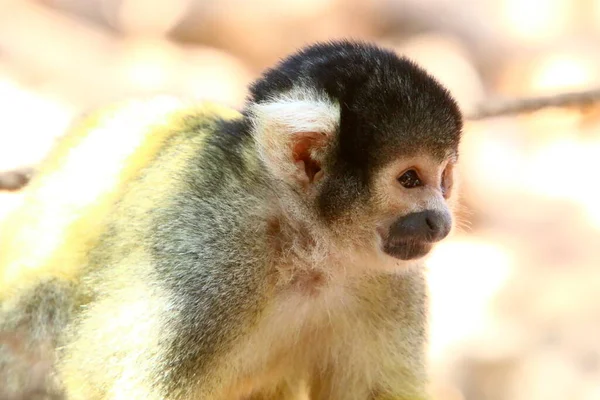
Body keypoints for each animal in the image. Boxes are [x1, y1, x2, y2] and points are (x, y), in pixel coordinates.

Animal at [0, 41, 464, 400]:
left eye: (444, 178)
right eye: (410, 179)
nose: (440, 222)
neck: (309, 247)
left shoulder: (391, 281)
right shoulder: (207, 264)